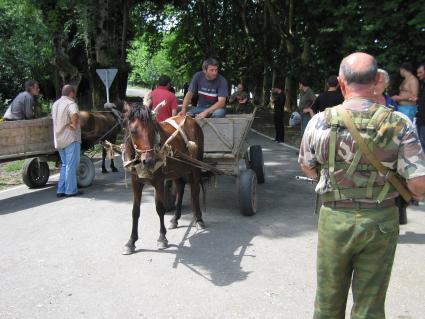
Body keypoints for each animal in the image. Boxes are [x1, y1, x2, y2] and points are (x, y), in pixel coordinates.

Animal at [121, 106, 205, 256]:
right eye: (133, 131)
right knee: (180, 189)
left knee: (195, 191)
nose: (149, 161)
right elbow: (135, 212)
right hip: (178, 170)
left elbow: (160, 209)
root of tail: (191, 119)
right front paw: (131, 242)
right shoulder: (136, 183)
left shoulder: (159, 182)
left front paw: (162, 238)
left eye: (153, 129)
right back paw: (175, 219)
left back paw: (199, 219)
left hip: (196, 166)